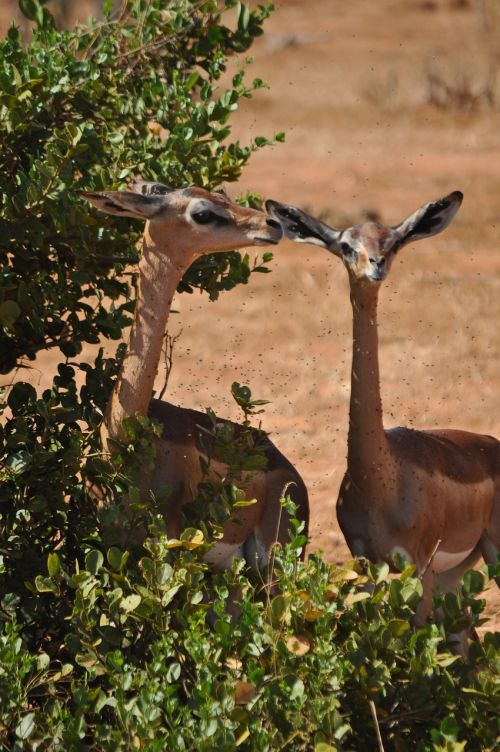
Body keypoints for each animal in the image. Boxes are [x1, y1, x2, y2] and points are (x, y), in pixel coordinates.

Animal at [78, 182, 308, 568]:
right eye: (203, 212)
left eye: (222, 196)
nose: (272, 224)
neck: (125, 439)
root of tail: (291, 473)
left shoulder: (170, 550)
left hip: (270, 561)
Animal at [268, 192, 500, 648]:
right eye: (346, 245)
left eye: (390, 241)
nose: (374, 265)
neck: (382, 477)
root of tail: (492, 446)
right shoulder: (367, 564)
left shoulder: (418, 568)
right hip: (455, 573)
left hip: (487, 555)